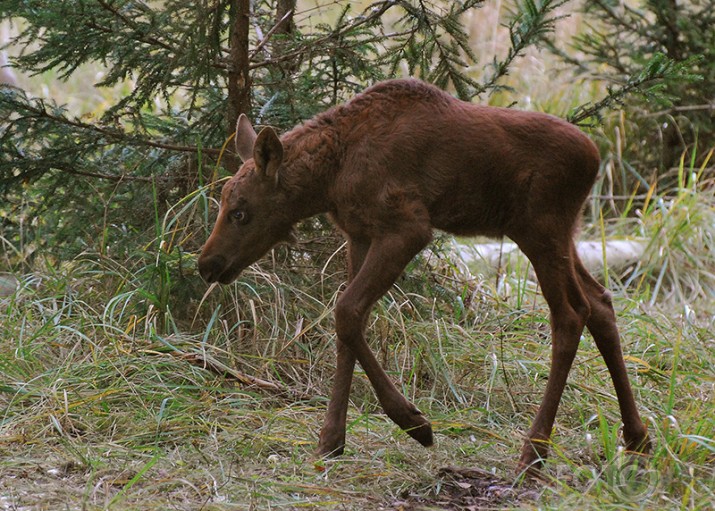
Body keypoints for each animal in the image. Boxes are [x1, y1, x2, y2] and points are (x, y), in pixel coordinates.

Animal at [199, 78, 652, 474]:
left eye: (240, 211)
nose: (207, 264)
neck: (330, 178)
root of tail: (596, 159)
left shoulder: (408, 226)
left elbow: (346, 311)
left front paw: (414, 422)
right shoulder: (359, 234)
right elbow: (348, 323)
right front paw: (331, 440)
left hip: (540, 229)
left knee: (570, 315)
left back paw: (534, 453)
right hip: (558, 233)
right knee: (600, 302)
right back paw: (637, 438)